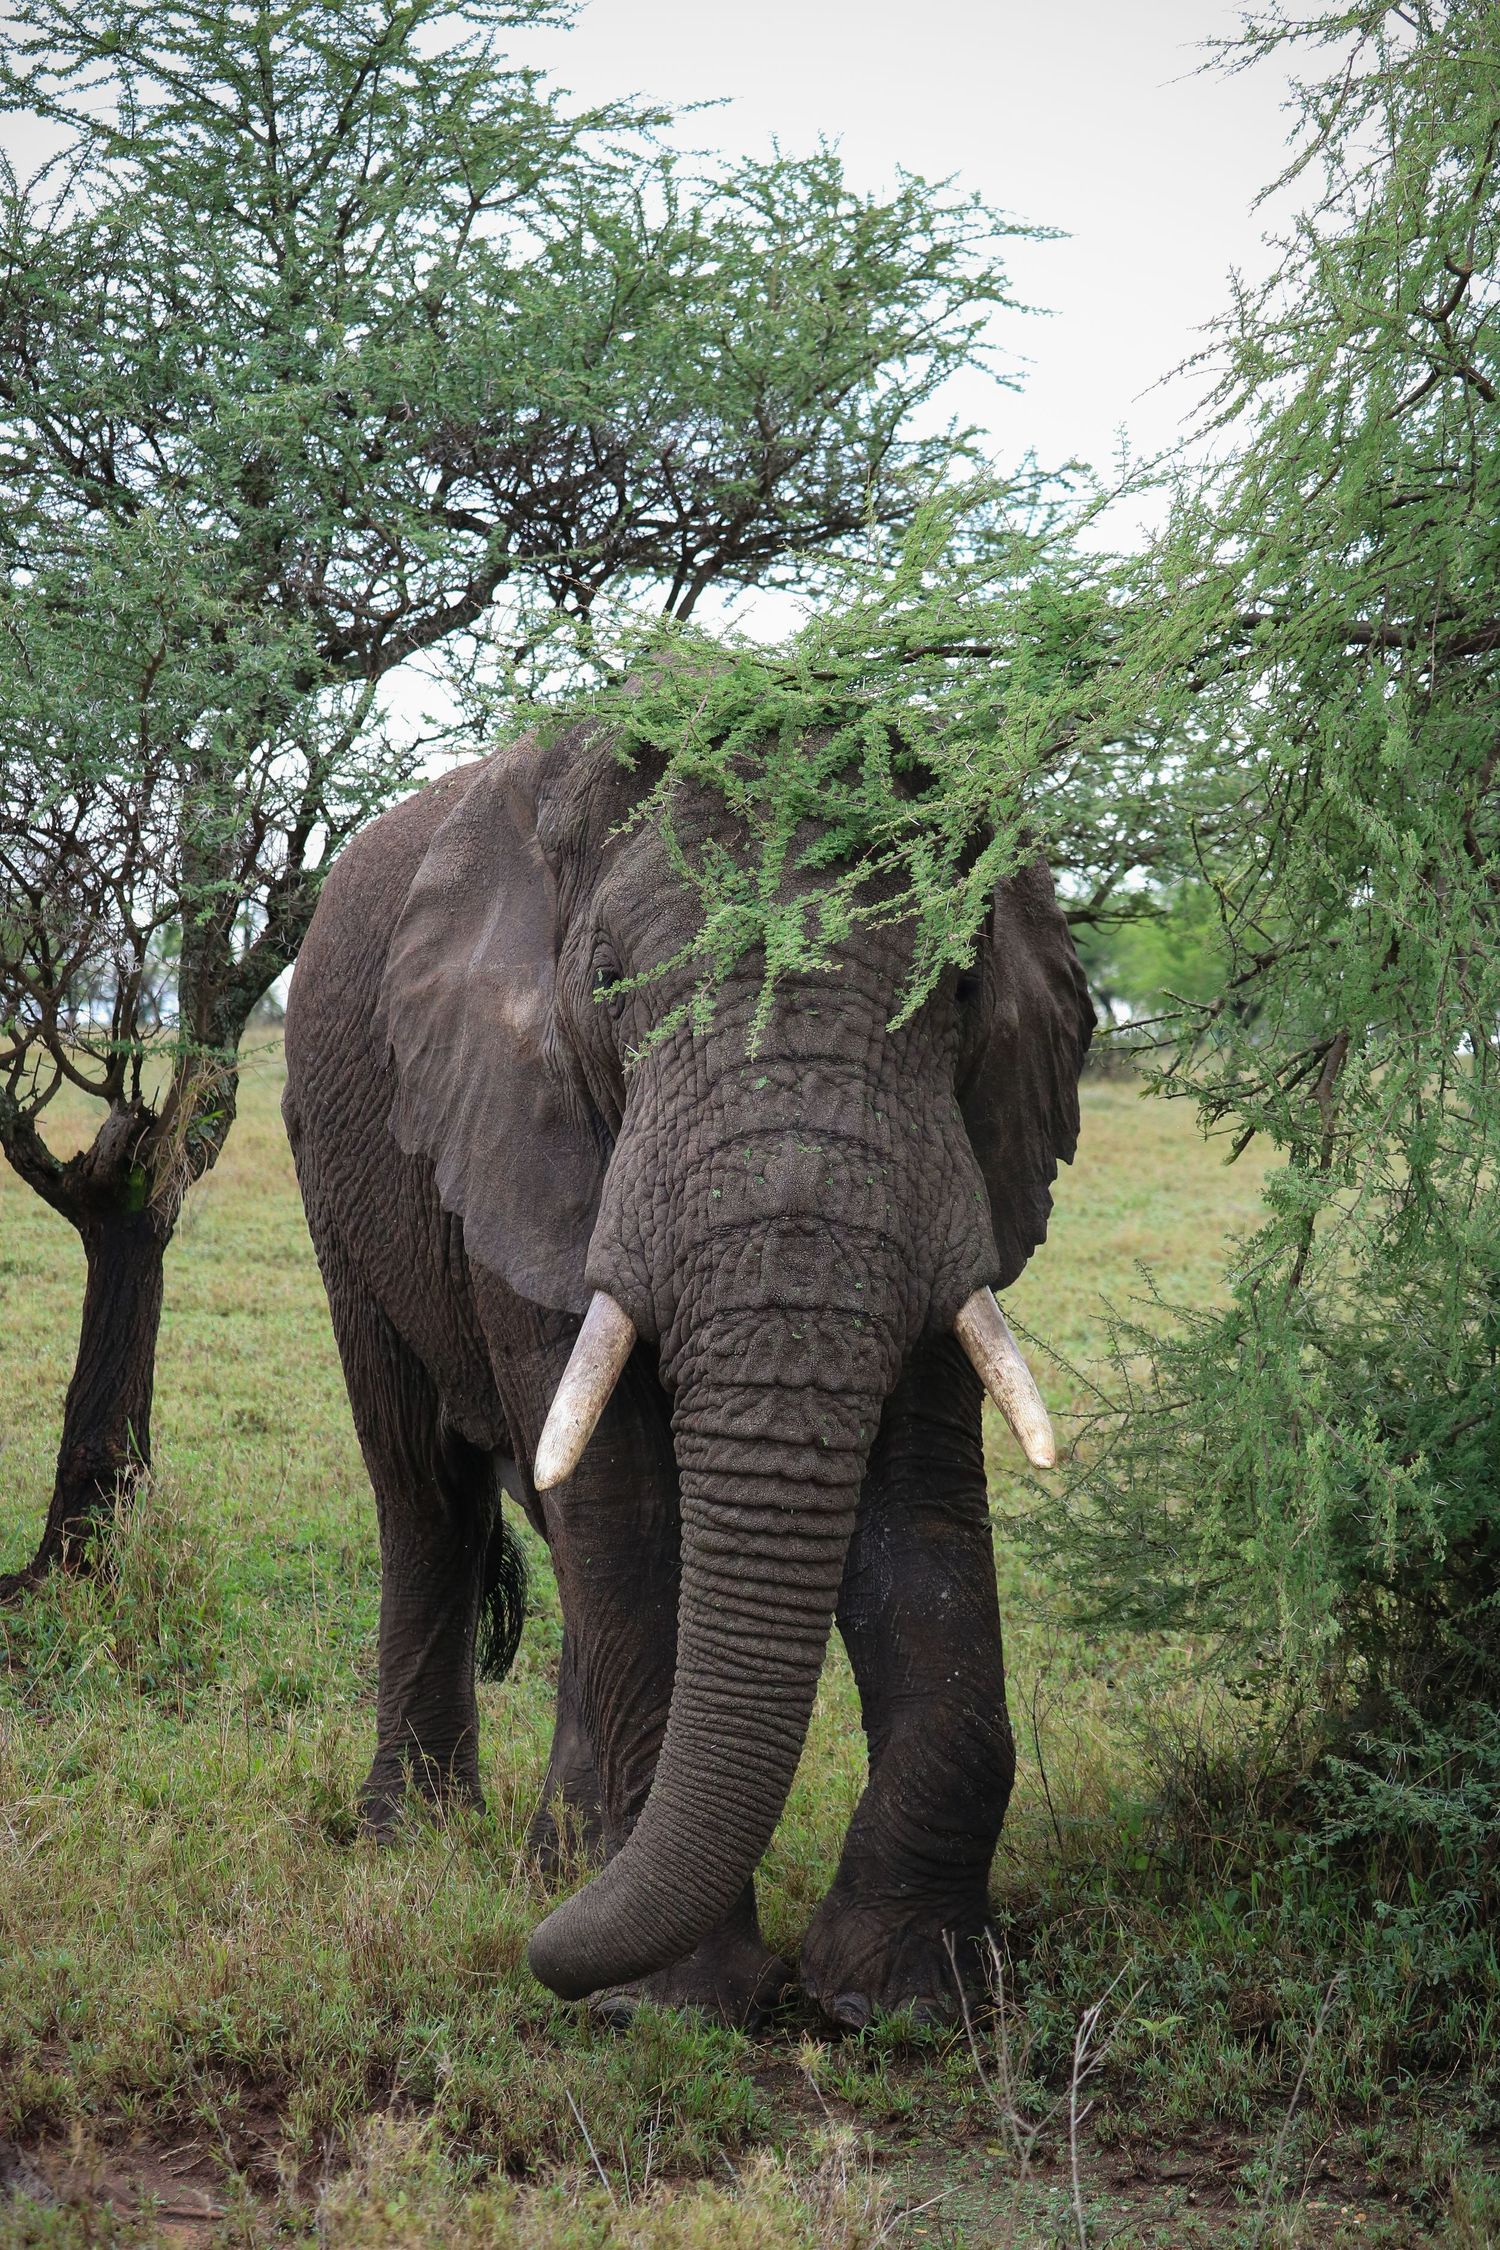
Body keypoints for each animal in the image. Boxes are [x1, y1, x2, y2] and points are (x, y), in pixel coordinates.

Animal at [281, 715, 1094, 2030]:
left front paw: (907, 1999)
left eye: (964, 987)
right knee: (426, 1494)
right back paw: (423, 1840)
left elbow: (919, 1510)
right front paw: (669, 2002)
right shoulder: (524, 1127)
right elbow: (621, 1502)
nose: (540, 1964)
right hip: (337, 1170)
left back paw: (559, 1864)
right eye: (609, 988)